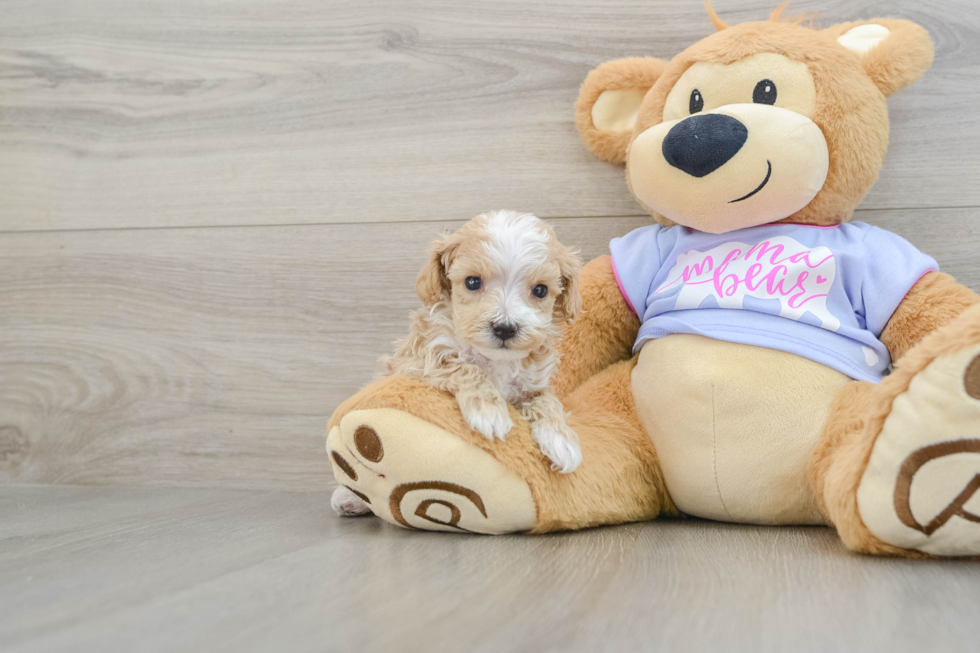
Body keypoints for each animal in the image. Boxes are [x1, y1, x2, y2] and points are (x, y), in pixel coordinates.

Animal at [334, 211, 584, 516]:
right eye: (473, 282)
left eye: (540, 290)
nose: (504, 328)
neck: (493, 359)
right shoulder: (421, 362)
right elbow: (465, 367)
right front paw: (489, 412)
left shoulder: (533, 383)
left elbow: (548, 401)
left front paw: (562, 440)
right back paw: (348, 497)